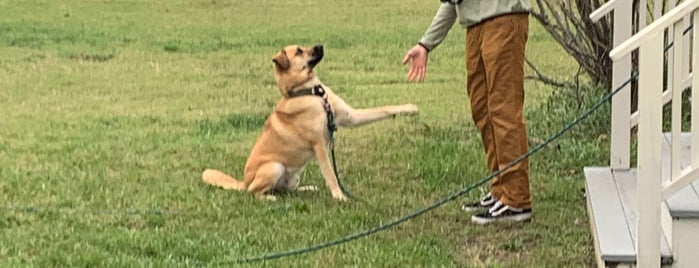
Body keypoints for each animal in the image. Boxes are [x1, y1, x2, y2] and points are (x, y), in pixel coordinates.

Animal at [202, 44, 422, 200]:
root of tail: (243, 182)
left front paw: (410, 108)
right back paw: (269, 198)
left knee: (287, 190)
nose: (321, 45)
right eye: (299, 51)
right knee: (255, 192)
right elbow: (330, 174)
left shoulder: (351, 117)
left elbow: (384, 109)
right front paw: (340, 197)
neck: (312, 92)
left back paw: (307, 189)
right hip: (274, 167)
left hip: (294, 175)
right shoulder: (319, 145)